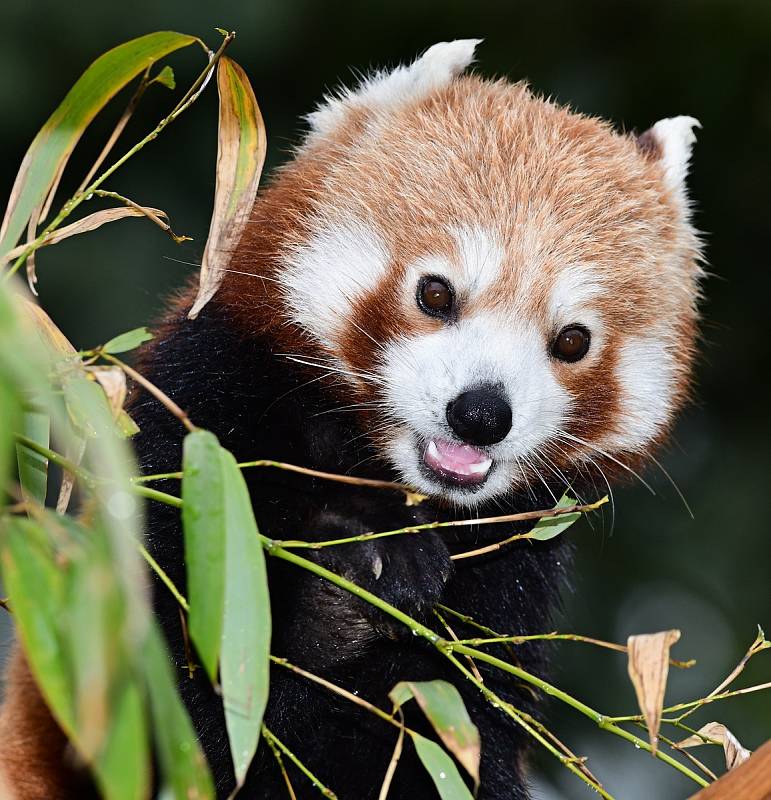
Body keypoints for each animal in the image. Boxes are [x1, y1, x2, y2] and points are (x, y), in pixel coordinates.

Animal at [0, 39, 700, 800]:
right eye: (435, 293)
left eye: (572, 341)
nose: (481, 413)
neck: (378, 476)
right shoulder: (200, 445)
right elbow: (194, 706)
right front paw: (350, 579)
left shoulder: (512, 576)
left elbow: (450, 731)